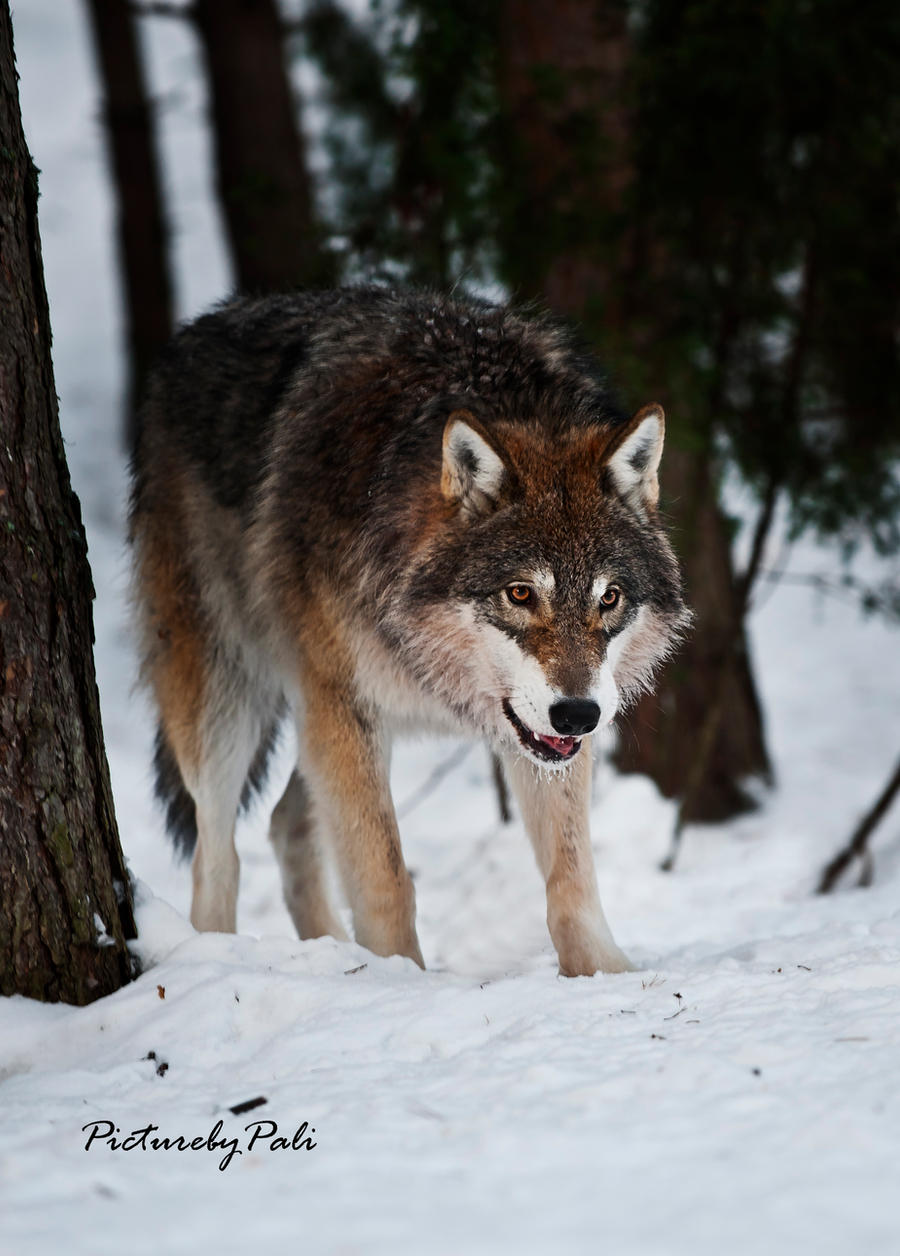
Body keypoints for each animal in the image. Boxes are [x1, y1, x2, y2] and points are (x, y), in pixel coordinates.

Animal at [128, 288, 687, 974]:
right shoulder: (344, 705)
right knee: (218, 855)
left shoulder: (539, 739)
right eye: (520, 594)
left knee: (286, 823)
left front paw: (606, 978)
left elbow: (572, 882)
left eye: (608, 598)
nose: (580, 714)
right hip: (232, 699)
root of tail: (186, 338)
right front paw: (402, 980)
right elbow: (387, 880)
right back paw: (220, 956)